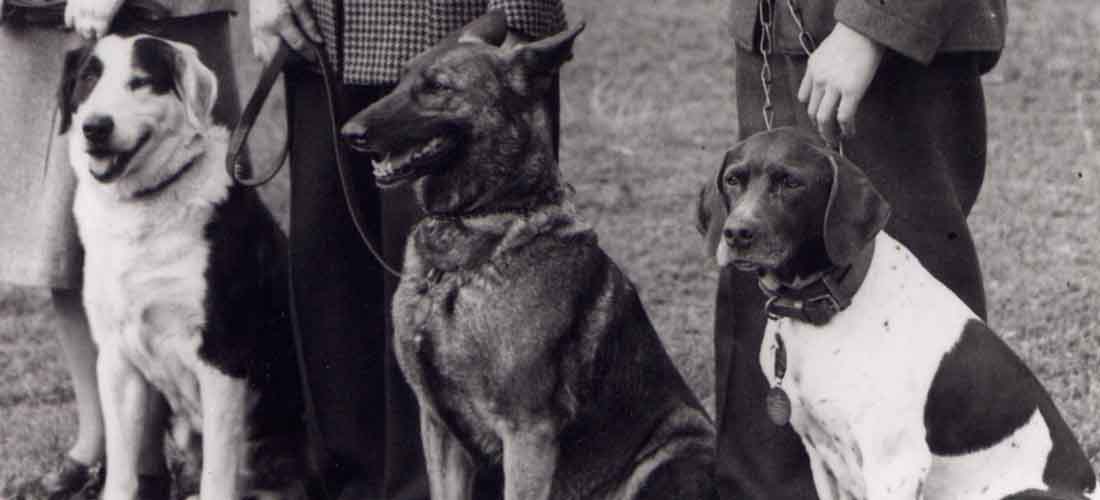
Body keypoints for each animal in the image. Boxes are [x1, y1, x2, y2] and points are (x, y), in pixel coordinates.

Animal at [62, 33, 308, 498]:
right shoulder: (116, 356)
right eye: (88, 79)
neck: (141, 209)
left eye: (140, 81)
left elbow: (218, 473)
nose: (96, 127)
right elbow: (122, 468)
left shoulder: (221, 355)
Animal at [338, 10, 717, 500]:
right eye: (400, 80)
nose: (350, 133)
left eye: (438, 86)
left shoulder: (527, 434)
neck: (479, 224)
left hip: (676, 455)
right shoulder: (439, 429)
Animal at [699, 128, 1095, 500]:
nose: (737, 233)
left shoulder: (895, 467)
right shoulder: (820, 457)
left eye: (792, 183)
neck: (828, 305)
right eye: (733, 179)